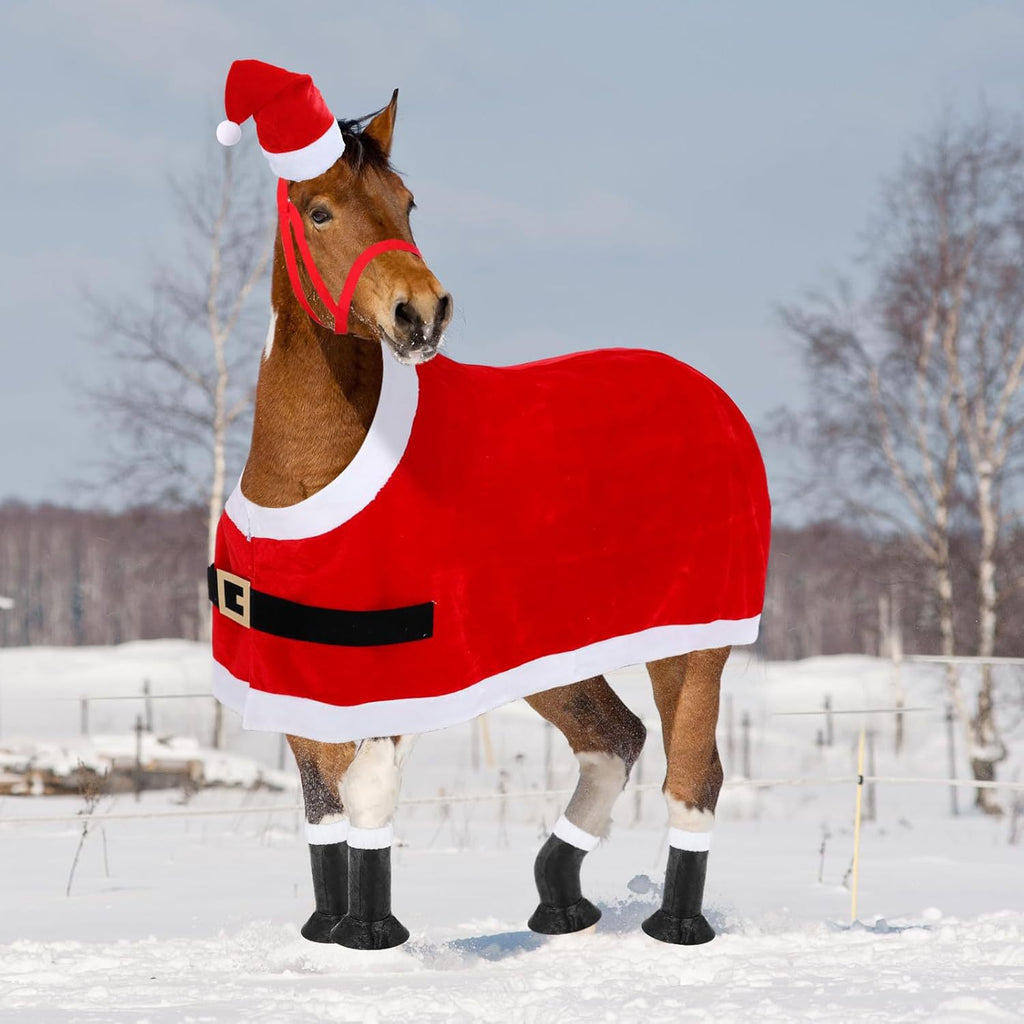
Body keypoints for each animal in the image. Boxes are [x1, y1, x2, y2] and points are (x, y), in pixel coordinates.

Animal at [209, 87, 770, 950]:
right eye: (319, 211)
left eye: (407, 203)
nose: (420, 312)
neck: (307, 478)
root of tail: (707, 394)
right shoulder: (299, 678)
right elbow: (322, 801)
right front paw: (327, 928)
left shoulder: (397, 676)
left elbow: (367, 792)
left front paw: (371, 934)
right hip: (556, 652)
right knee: (614, 739)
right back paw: (560, 904)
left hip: (696, 643)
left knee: (690, 772)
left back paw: (675, 926)